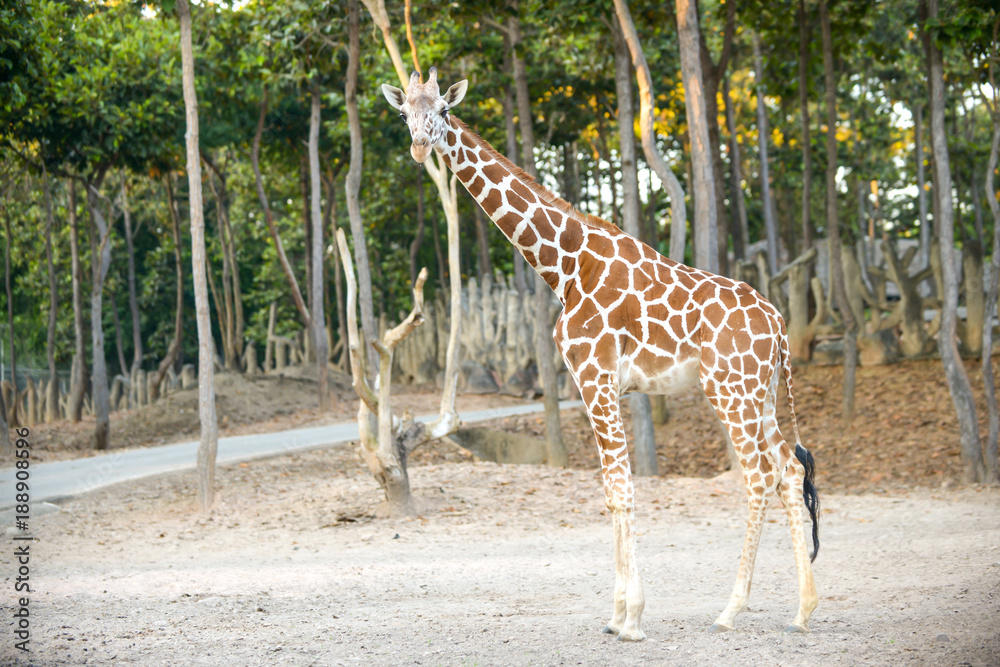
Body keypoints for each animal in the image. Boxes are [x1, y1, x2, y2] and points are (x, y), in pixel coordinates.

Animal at [382, 69, 820, 642]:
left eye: (444, 111)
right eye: (404, 113)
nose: (419, 145)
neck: (565, 265)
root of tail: (780, 325)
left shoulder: (595, 378)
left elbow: (624, 489)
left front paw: (633, 618)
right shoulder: (595, 384)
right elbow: (611, 492)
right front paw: (615, 616)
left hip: (730, 390)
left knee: (759, 477)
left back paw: (731, 609)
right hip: (761, 393)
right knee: (789, 471)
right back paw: (804, 609)